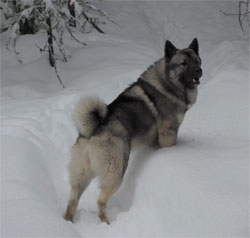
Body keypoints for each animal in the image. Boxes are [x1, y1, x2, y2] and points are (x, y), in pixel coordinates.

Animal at [65, 38, 203, 224]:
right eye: (183, 63)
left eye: (196, 61)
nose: (199, 71)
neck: (166, 83)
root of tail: (93, 129)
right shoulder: (168, 132)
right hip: (116, 171)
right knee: (101, 201)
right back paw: (108, 222)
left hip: (81, 176)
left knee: (72, 201)